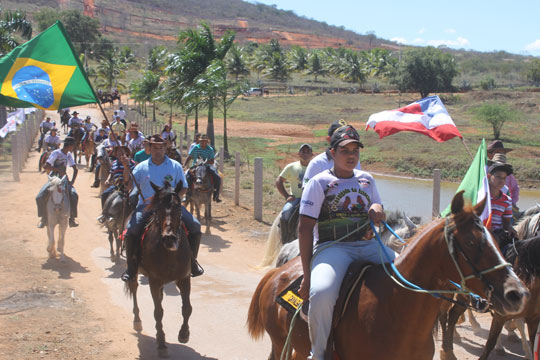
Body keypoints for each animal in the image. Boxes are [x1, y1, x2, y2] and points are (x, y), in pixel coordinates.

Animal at [125, 181, 194, 358]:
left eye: (178, 209)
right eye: (158, 210)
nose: (169, 238)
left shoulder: (184, 278)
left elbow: (187, 308)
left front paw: (184, 334)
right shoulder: (154, 281)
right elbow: (158, 312)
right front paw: (162, 344)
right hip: (135, 273)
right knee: (134, 289)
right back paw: (137, 321)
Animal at [248, 193, 528, 358]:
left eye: (496, 240)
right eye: (471, 242)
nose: (518, 293)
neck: (397, 308)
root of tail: (276, 274)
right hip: (280, 342)